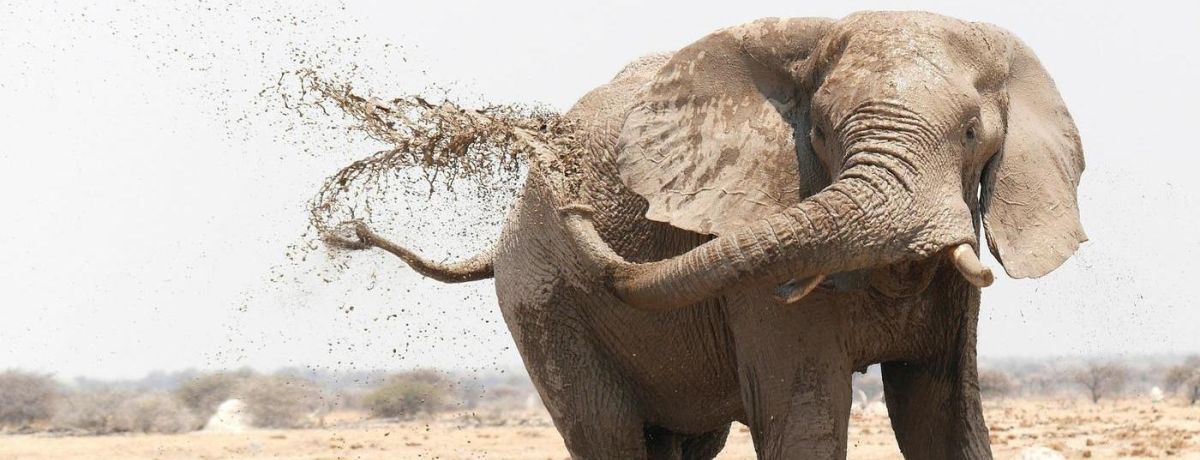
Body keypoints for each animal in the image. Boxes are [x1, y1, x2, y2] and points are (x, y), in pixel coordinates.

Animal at [330, 11, 1085, 459]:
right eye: (819, 132)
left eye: (973, 133)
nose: (349, 228)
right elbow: (807, 415)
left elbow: (942, 415)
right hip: (542, 303)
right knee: (609, 435)